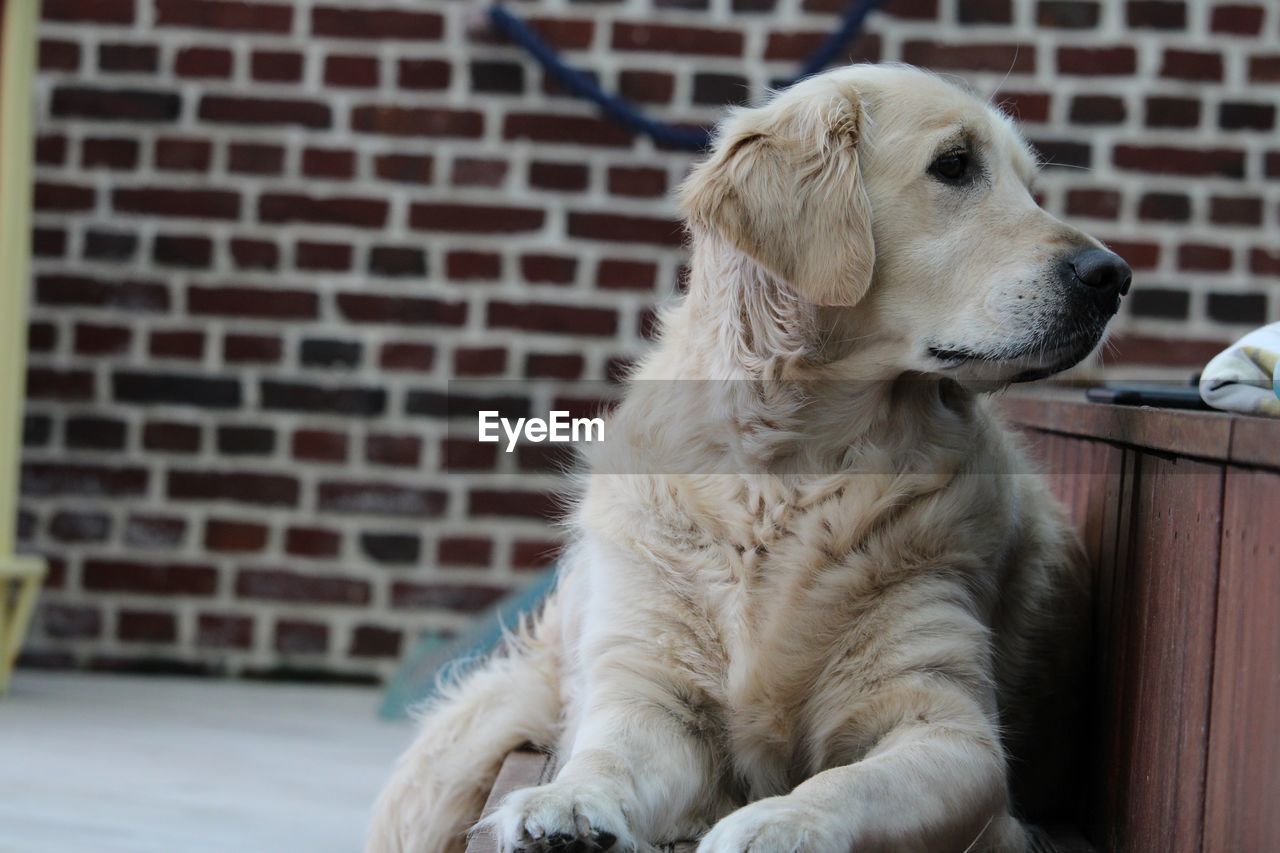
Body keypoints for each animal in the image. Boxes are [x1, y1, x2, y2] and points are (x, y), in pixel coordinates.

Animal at [371, 64, 1131, 850]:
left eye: (1032, 187)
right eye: (954, 165)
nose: (1114, 275)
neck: (789, 467)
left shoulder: (949, 724)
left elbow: (851, 782)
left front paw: (776, 822)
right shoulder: (656, 696)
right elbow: (609, 754)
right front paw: (567, 800)